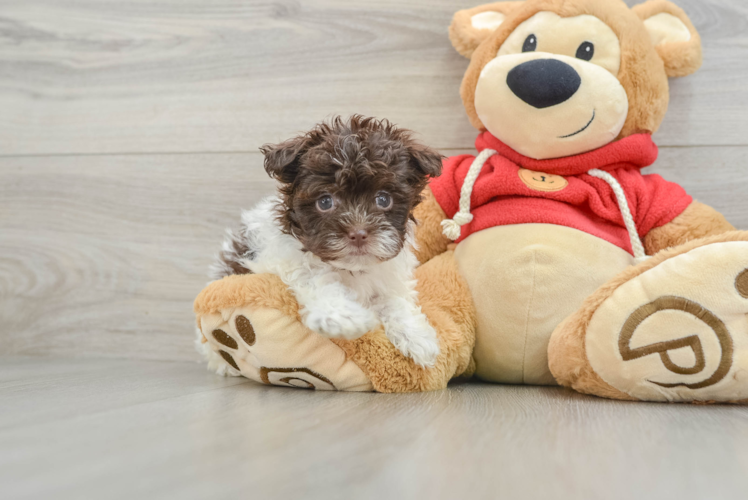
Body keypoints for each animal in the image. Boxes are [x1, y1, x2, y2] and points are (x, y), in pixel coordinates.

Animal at [210, 116, 444, 368]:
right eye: (325, 201)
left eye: (383, 199)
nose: (358, 233)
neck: (351, 269)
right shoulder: (288, 258)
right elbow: (315, 278)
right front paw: (343, 317)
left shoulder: (387, 276)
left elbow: (394, 300)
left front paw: (416, 336)